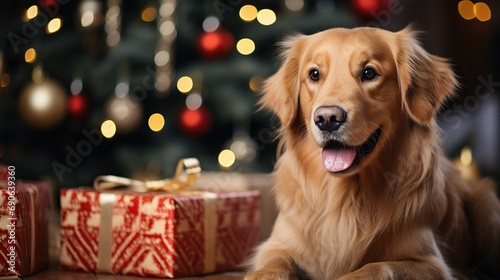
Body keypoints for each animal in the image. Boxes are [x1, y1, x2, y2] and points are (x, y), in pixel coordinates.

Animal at [246, 26, 500, 280]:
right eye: (314, 74)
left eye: (369, 73)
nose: (327, 119)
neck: (346, 197)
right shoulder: (275, 245)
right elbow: (276, 262)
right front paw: (264, 274)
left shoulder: (431, 262)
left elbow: (379, 266)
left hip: (487, 205)